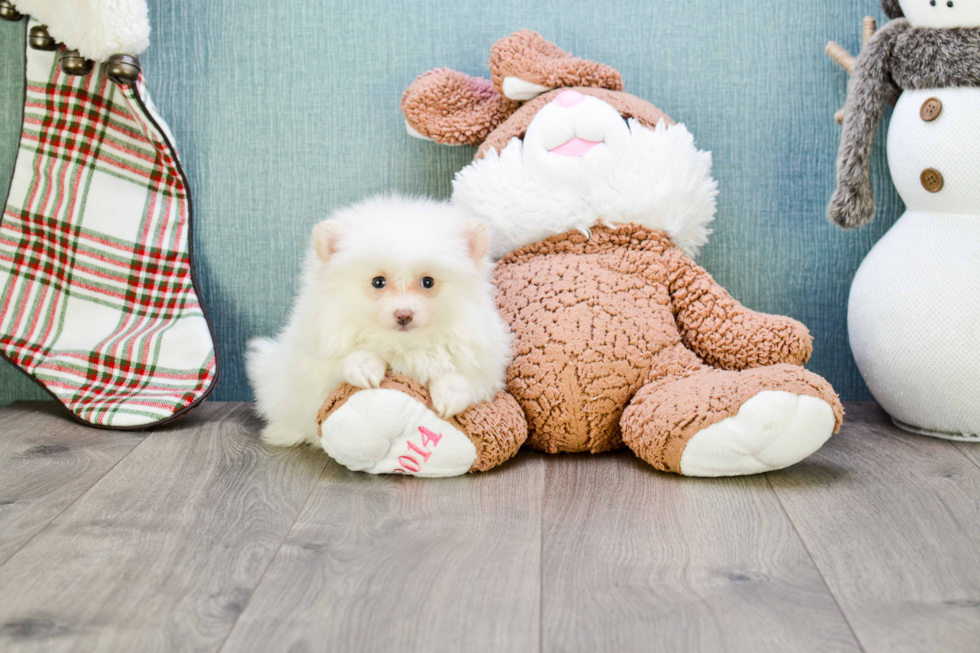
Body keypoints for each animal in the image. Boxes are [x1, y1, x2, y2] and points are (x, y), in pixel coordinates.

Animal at [247, 196, 512, 446]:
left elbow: (461, 375)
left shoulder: (483, 365)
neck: (404, 344)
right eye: (378, 282)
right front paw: (364, 367)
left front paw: (450, 396)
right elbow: (349, 358)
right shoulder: (318, 363)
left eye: (428, 282)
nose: (404, 314)